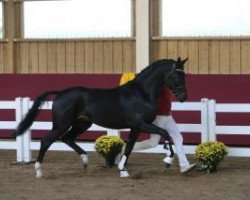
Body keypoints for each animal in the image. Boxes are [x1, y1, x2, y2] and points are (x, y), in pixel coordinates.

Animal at [12, 57, 188, 177]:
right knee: (46, 141)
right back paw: (38, 171)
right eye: (176, 76)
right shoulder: (141, 124)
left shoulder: (136, 127)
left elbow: (130, 147)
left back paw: (84, 160)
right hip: (61, 124)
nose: (183, 97)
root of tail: (60, 93)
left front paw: (123, 169)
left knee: (67, 138)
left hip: (82, 123)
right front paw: (168, 161)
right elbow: (165, 134)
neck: (141, 93)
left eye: (184, 75)